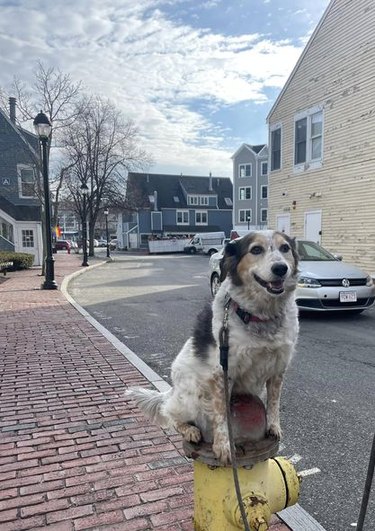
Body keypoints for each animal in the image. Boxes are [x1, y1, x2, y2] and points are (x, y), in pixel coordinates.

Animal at [128, 231, 302, 464]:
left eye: (285, 249)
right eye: (256, 250)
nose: (280, 268)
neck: (260, 315)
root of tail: (172, 391)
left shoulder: (278, 368)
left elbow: (274, 402)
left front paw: (274, 427)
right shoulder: (221, 372)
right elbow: (221, 415)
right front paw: (223, 446)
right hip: (191, 396)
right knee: (171, 415)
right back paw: (190, 430)